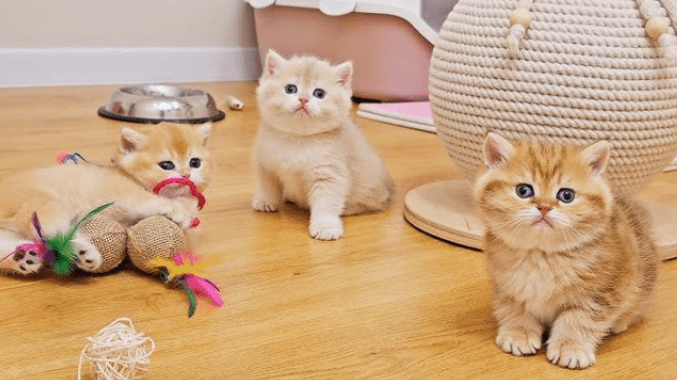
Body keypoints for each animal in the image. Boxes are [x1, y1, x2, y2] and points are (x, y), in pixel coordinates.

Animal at [0, 123, 211, 274]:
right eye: (166, 165)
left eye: (195, 162)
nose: (186, 175)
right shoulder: (124, 194)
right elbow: (148, 200)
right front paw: (176, 210)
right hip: (42, 202)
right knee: (54, 230)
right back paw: (81, 252)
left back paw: (22, 258)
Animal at [251, 50, 394, 240]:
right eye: (291, 89)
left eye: (319, 93)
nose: (303, 99)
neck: (298, 138)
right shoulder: (266, 164)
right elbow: (267, 186)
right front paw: (266, 201)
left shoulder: (329, 175)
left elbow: (326, 203)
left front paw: (326, 226)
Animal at [472, 133, 656, 368]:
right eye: (523, 191)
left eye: (566, 195)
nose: (544, 207)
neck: (541, 254)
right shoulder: (507, 286)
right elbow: (513, 308)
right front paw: (518, 333)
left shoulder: (600, 294)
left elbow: (579, 320)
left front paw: (571, 347)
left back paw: (620, 322)